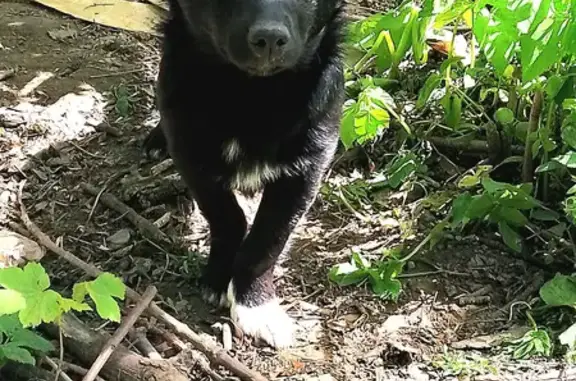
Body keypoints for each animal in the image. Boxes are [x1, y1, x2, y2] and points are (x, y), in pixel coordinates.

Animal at [144, 0, 344, 346]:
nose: (269, 38)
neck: (251, 94)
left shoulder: (308, 166)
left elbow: (269, 238)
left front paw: (256, 304)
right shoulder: (191, 154)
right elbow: (227, 217)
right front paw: (219, 275)